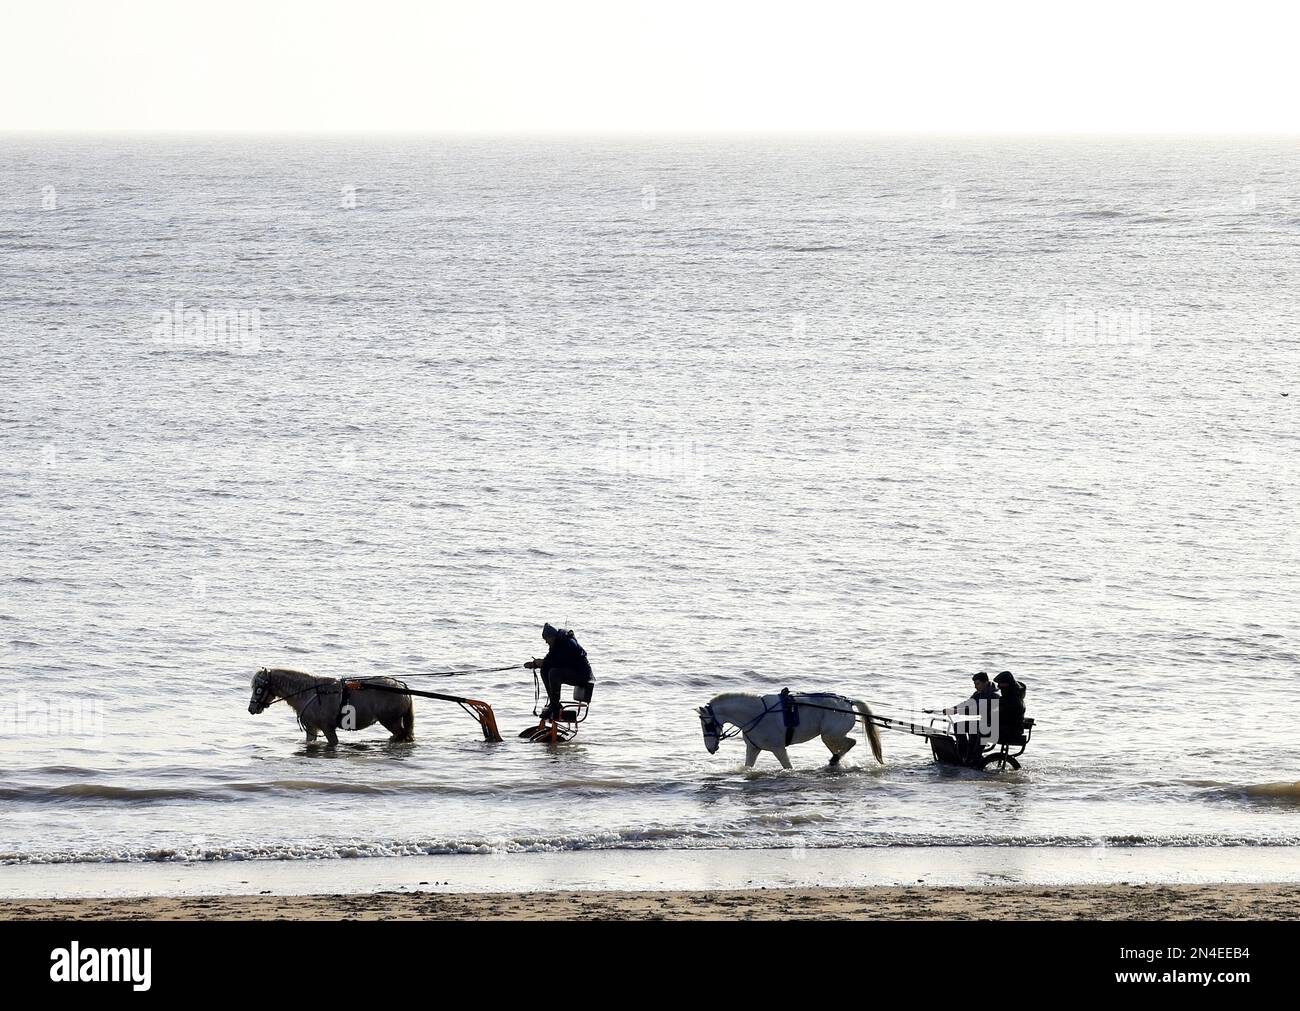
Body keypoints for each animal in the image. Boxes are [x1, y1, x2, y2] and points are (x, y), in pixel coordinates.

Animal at [247, 667, 415, 747]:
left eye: (259, 688)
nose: (251, 709)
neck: (309, 693)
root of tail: (401, 687)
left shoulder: (327, 729)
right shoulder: (312, 729)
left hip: (391, 722)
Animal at [697, 691, 883, 770]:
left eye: (707, 725)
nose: (710, 748)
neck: (757, 713)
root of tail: (848, 703)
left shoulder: (778, 749)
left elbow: (788, 766)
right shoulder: (753, 748)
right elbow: (748, 766)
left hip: (829, 735)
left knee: (850, 742)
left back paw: (834, 760)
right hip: (831, 736)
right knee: (844, 745)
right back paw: (834, 761)